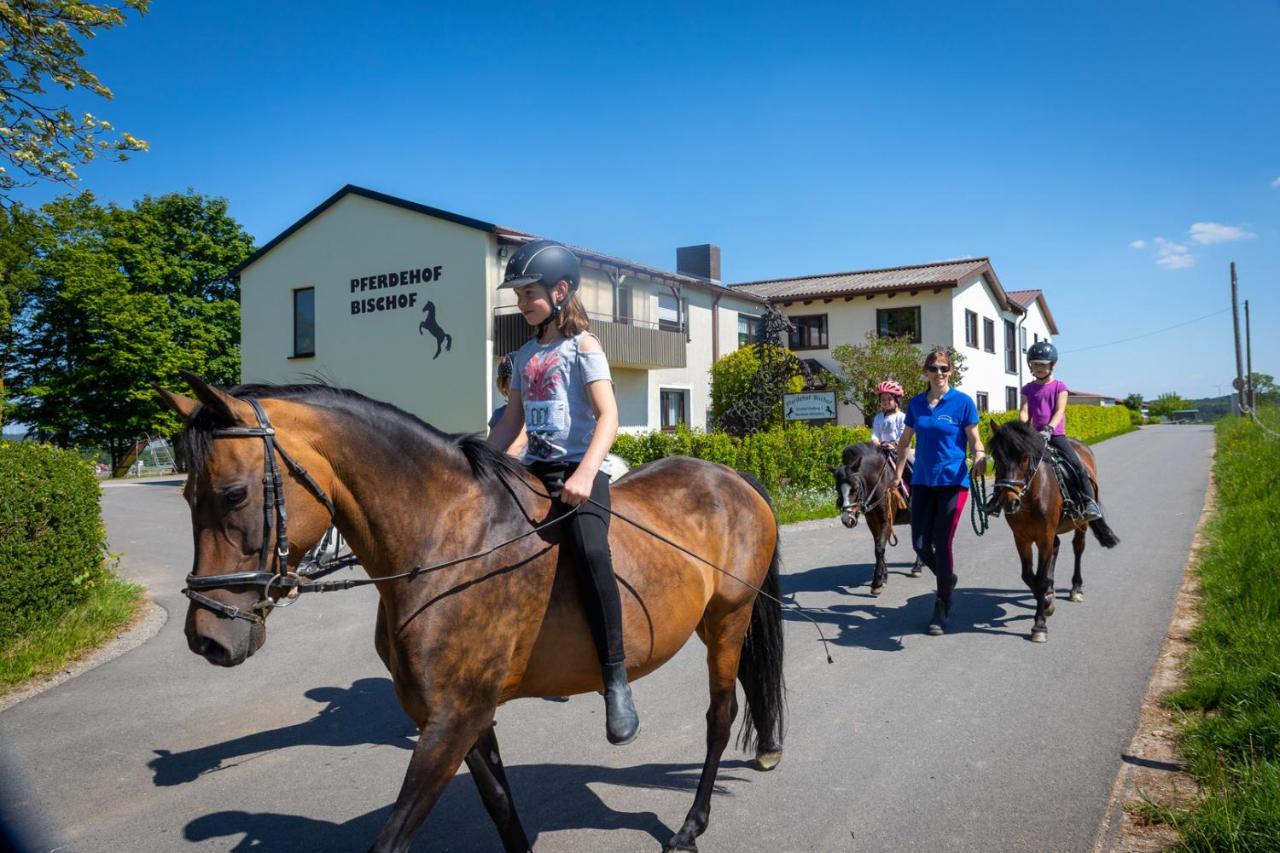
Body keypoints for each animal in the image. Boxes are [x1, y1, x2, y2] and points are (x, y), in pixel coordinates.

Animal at [156, 373, 783, 850]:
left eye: (234, 494)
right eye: (186, 495)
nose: (207, 637)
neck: (444, 542)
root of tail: (730, 476)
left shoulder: (450, 722)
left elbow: (393, 838)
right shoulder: (464, 717)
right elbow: (501, 807)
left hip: (727, 621)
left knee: (719, 717)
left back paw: (689, 827)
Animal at [829, 440, 921, 594]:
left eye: (855, 488)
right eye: (837, 488)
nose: (847, 519)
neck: (881, 482)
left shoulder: (886, 521)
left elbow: (879, 548)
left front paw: (877, 583)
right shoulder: (872, 522)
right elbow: (878, 547)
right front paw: (883, 576)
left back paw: (917, 567)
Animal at [983, 414, 1116, 640]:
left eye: (1025, 457)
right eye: (997, 457)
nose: (1009, 502)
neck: (1030, 496)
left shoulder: (1044, 536)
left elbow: (1042, 578)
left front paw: (1040, 625)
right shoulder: (1022, 538)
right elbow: (1030, 576)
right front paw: (1046, 602)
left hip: (1081, 523)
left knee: (1077, 548)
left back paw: (1076, 589)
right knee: (1056, 548)